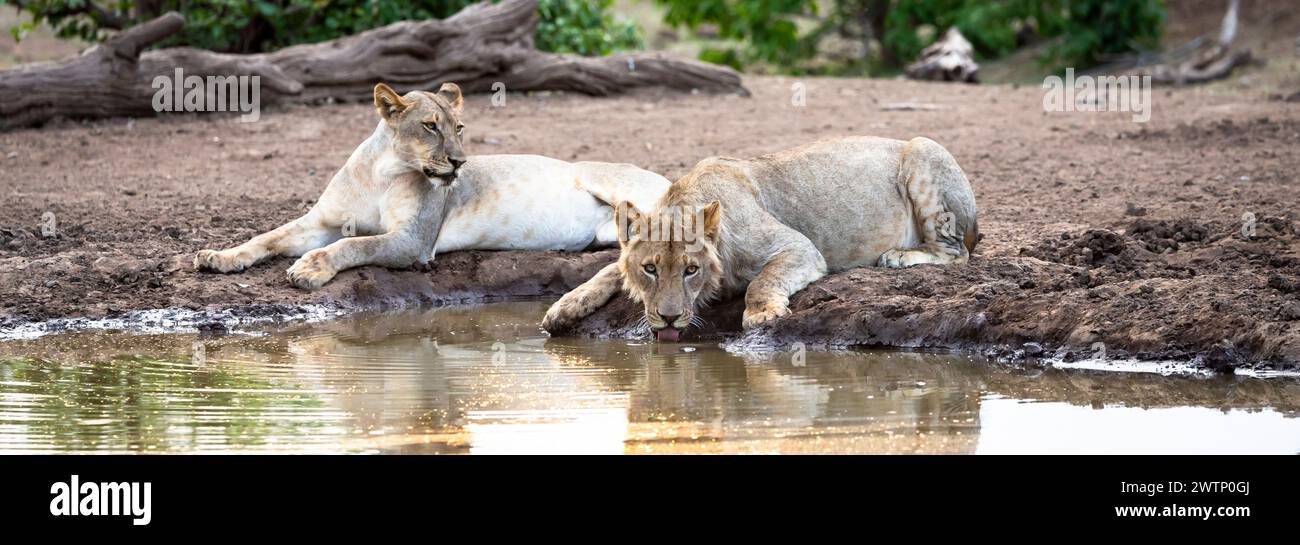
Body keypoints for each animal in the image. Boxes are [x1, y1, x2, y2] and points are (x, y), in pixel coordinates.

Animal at [195, 82, 670, 290]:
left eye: (459, 128)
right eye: (430, 126)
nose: (459, 162)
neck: (383, 174)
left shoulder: (413, 240)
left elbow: (353, 245)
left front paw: (310, 268)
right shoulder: (321, 221)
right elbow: (268, 237)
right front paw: (218, 256)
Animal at [538, 136, 977, 340]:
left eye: (691, 270)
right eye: (650, 269)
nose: (669, 317)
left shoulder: (800, 248)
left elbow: (762, 282)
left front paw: (763, 313)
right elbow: (607, 270)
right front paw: (563, 307)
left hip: (923, 151)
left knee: (956, 252)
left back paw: (900, 256)